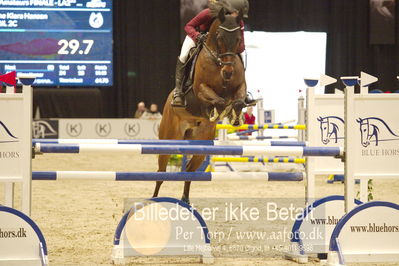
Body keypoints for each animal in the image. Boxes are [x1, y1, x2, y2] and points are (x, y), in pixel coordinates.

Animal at [152, 9, 247, 203]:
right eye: (219, 37)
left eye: (238, 39)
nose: (228, 72)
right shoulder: (200, 90)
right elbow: (219, 101)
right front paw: (218, 111)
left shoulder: (240, 86)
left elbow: (238, 100)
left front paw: (235, 116)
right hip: (169, 138)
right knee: (161, 173)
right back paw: (153, 200)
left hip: (201, 145)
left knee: (189, 170)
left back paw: (185, 200)